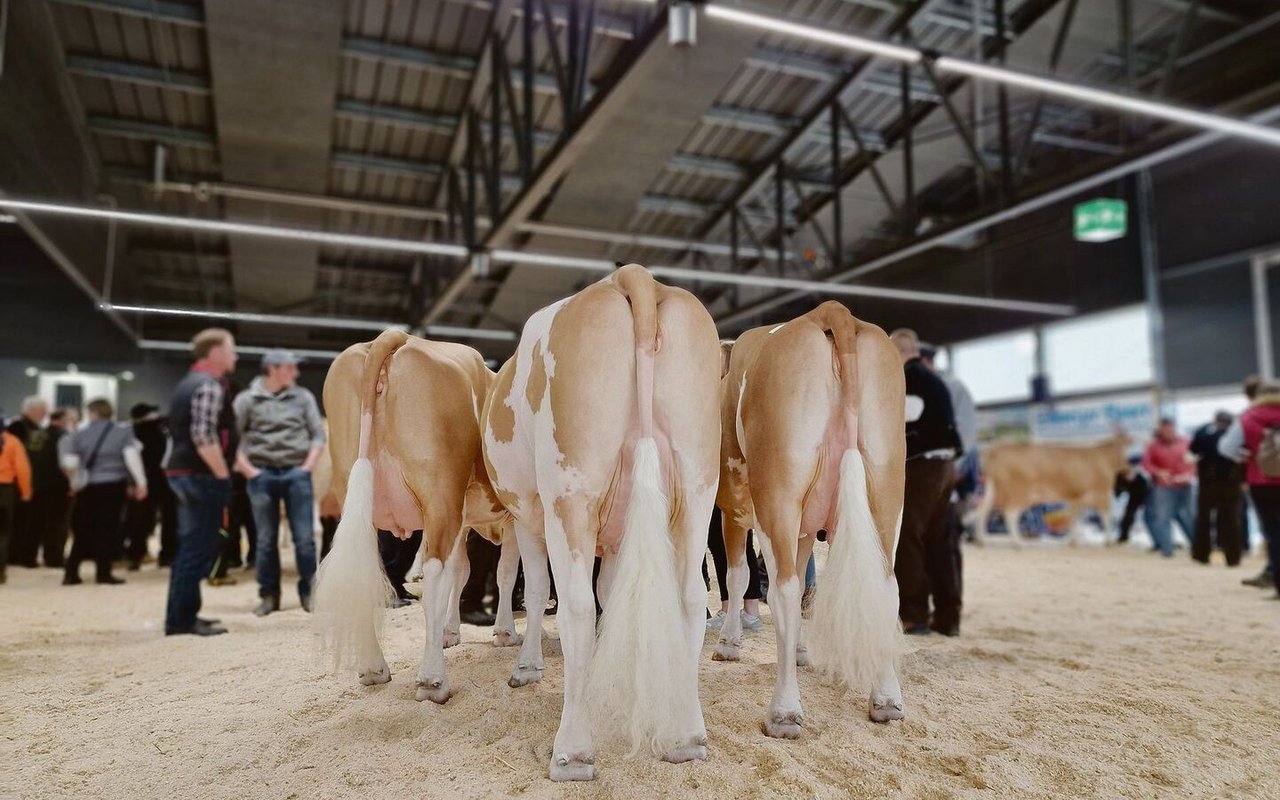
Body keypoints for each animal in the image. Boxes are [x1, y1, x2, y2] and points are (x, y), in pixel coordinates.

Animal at [312, 327, 517, 701]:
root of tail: (398, 337)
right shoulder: (510, 519)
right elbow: (504, 573)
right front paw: (505, 632)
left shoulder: (464, 521)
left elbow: (462, 572)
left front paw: (451, 632)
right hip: (439, 495)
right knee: (433, 577)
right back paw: (433, 680)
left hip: (359, 494)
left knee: (365, 571)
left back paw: (373, 668)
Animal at [481, 264, 721, 778]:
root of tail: (635, 277)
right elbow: (614, 597)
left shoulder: (528, 514)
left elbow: (535, 591)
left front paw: (527, 667)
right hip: (697, 487)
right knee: (691, 598)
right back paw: (687, 734)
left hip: (569, 493)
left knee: (575, 606)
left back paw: (571, 750)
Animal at [721, 300, 911, 737]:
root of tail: (830, 312)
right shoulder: (807, 526)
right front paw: (801, 651)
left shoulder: (731, 505)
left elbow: (738, 576)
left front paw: (728, 644)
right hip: (887, 487)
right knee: (886, 586)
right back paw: (886, 698)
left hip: (778, 491)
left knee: (784, 590)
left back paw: (784, 711)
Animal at [972, 437, 1126, 542]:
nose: (1129, 470)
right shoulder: (1099, 496)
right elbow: (1104, 517)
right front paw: (1108, 541)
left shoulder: (1076, 499)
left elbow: (1074, 518)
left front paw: (1073, 540)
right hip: (1019, 493)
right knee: (1009, 514)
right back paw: (1017, 542)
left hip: (996, 492)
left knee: (983, 511)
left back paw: (982, 539)